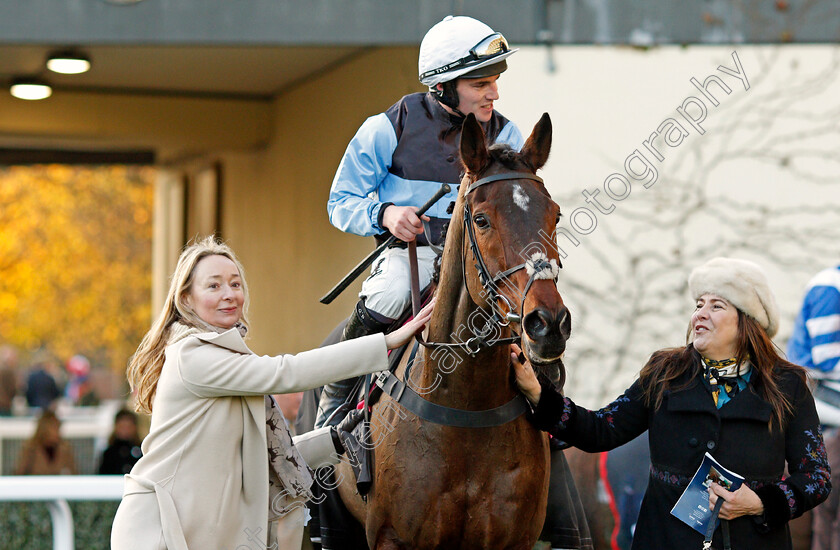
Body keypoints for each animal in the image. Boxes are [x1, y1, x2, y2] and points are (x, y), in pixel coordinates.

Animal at [334, 113, 572, 550]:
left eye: (556, 215)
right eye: (481, 219)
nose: (548, 324)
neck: (466, 408)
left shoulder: (516, 538)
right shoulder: (392, 537)